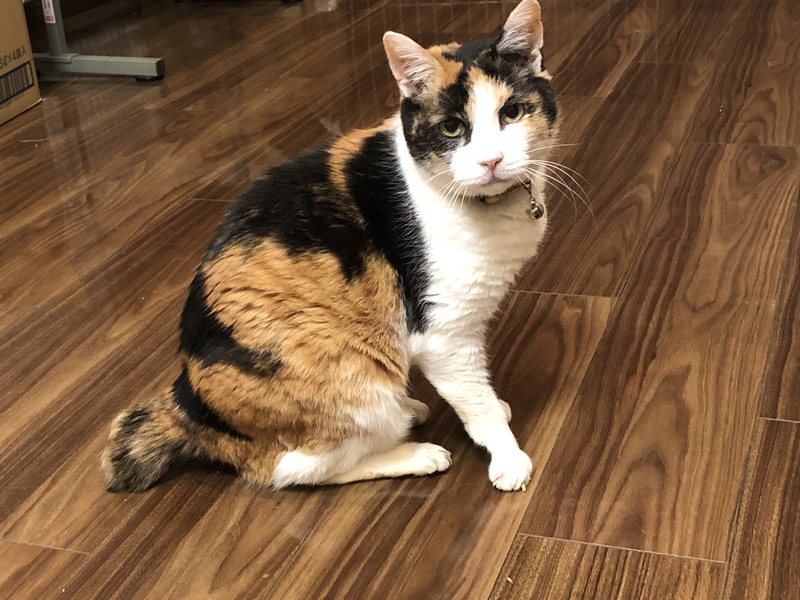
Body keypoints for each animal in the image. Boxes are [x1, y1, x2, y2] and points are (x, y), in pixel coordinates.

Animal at [102, 0, 558, 494]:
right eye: (453, 128)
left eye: (513, 112)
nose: (491, 160)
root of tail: (188, 403)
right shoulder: (444, 334)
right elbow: (479, 403)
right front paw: (507, 457)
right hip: (357, 382)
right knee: (297, 470)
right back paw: (416, 451)